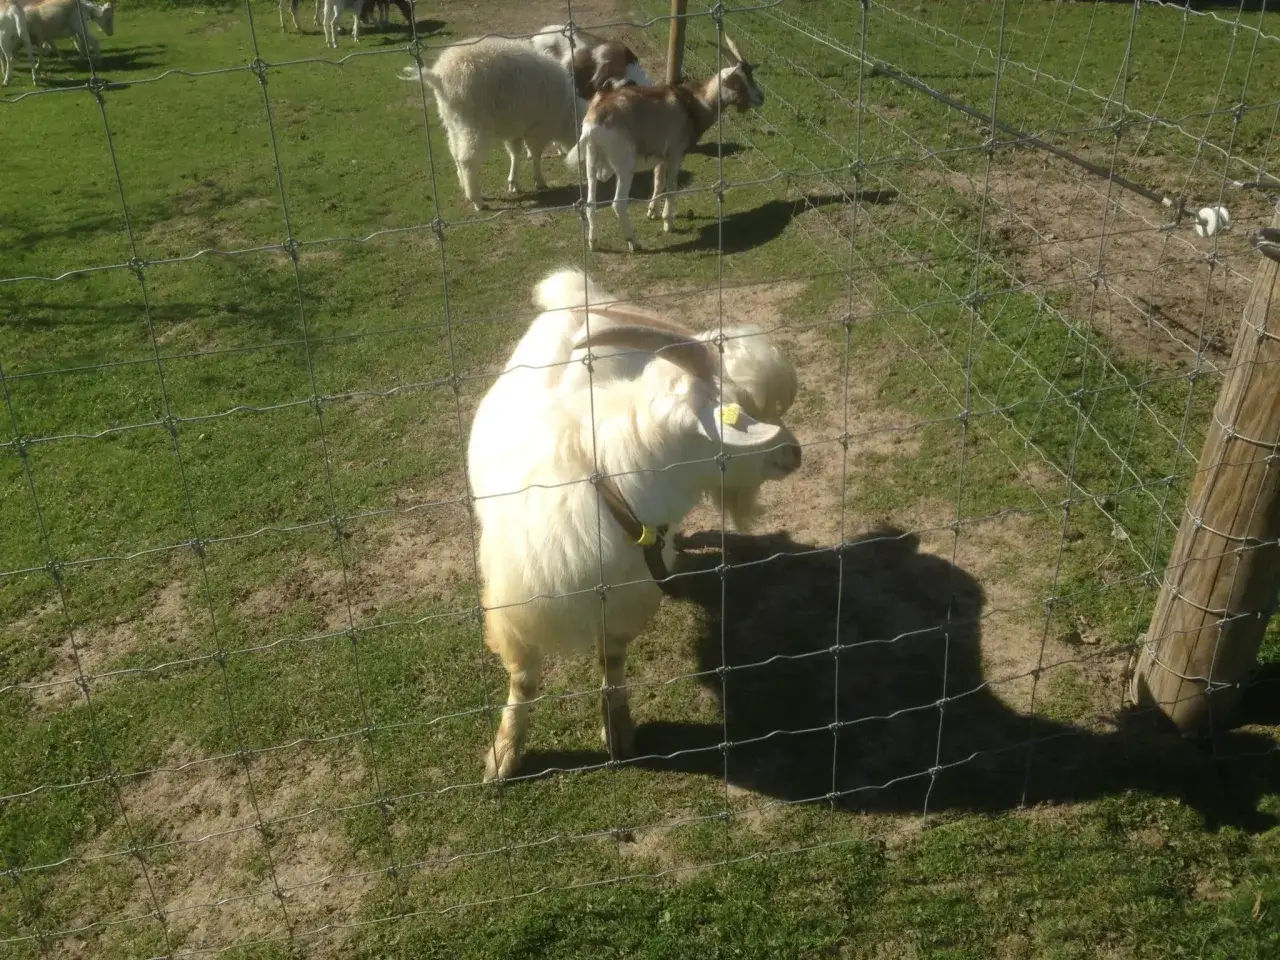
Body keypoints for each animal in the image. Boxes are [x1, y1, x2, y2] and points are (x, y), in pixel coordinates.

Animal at [399, 36, 591, 211]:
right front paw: (540, 181)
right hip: (474, 125)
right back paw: (477, 200)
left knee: (455, 154)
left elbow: (515, 153)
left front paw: (514, 182)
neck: (567, 115)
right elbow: (535, 155)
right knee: (467, 160)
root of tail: (439, 76)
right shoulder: (538, 130)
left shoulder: (516, 127)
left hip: (453, 122)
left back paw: (464, 186)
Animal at [467, 268, 802, 782]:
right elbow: (523, 680)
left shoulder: (626, 600)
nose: (794, 453)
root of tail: (574, 295)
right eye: (737, 415)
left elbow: (612, 658)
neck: (610, 487)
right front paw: (505, 753)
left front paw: (618, 729)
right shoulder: (519, 608)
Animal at [566, 35, 764, 252]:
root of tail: (594, 120)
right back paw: (634, 242)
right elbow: (671, 185)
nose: (760, 97)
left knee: (591, 202)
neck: (692, 103)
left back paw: (593, 242)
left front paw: (653, 212)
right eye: (737, 81)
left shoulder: (661, 156)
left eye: (750, 74)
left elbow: (659, 181)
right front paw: (668, 222)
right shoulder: (676, 153)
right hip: (624, 167)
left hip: (591, 160)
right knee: (618, 204)